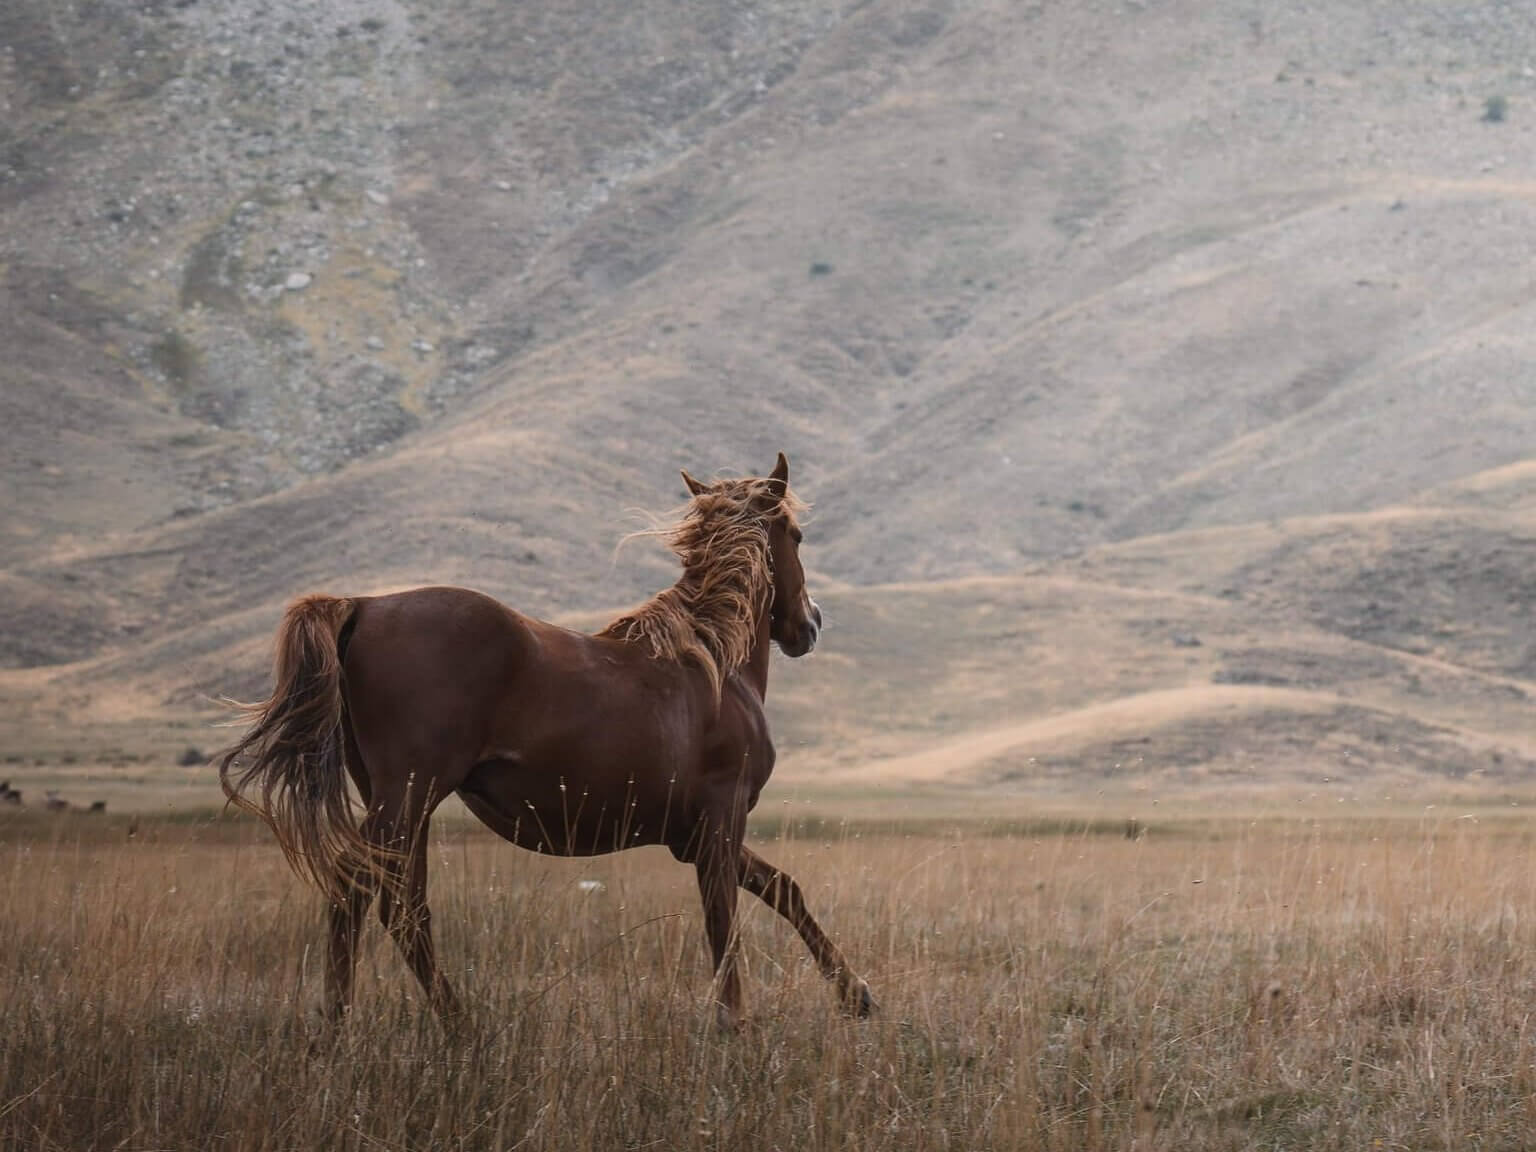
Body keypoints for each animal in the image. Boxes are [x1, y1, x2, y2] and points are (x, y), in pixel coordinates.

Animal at [218, 453, 873, 1030]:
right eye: (796, 534)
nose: (810, 624)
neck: (712, 663)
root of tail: (363, 606)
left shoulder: (690, 836)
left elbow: (782, 890)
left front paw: (856, 995)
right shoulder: (721, 817)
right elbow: (724, 922)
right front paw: (733, 1019)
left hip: (407, 801)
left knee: (403, 905)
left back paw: (449, 1022)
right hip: (408, 793)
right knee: (360, 890)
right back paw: (348, 1023)